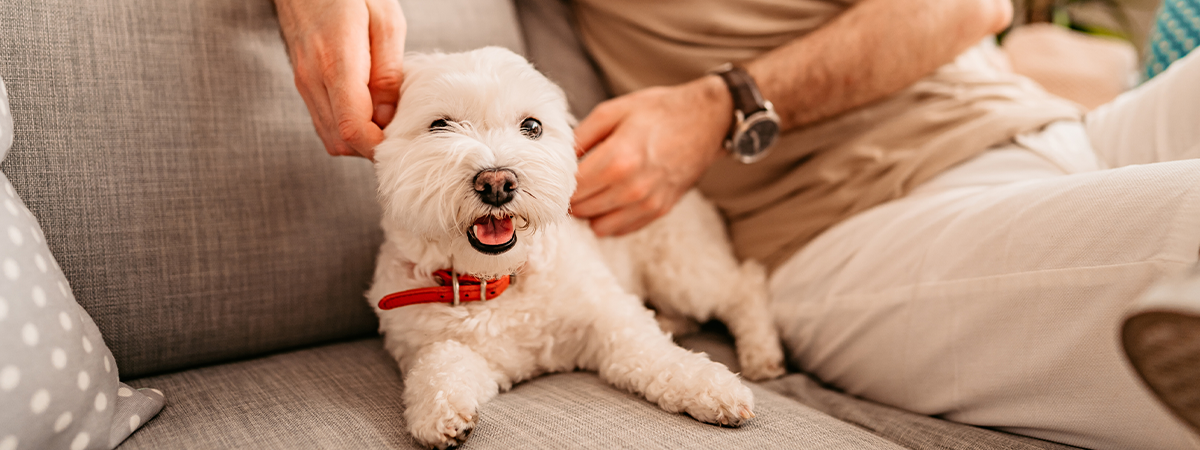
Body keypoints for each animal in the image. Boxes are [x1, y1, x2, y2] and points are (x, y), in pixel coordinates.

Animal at [369, 47, 792, 448]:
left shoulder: (610, 316)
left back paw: (761, 353)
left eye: (532, 126)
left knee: (745, 283)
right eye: (439, 125)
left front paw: (711, 386)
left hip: (682, 271)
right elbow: (440, 361)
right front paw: (437, 412)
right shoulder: (449, 350)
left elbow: (653, 352)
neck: (496, 282)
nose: (497, 182)